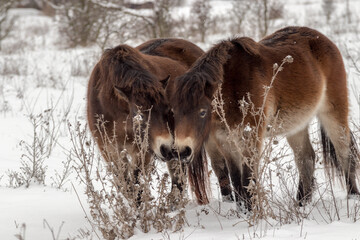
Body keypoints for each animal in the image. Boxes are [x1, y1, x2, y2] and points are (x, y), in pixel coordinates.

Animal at [87, 38, 204, 203]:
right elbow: (125, 184)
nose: (167, 148)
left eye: (169, 111)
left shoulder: (143, 151)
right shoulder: (109, 150)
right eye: (140, 115)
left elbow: (137, 182)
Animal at [167, 26, 360, 210]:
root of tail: (324, 40)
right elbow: (236, 180)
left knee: (344, 153)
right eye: (174, 112)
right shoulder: (226, 142)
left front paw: (252, 213)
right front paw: (243, 211)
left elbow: (247, 179)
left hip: (333, 113)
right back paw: (300, 204)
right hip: (296, 125)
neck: (232, 86)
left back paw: (352, 197)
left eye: (202, 112)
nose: (182, 151)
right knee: (306, 159)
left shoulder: (250, 138)